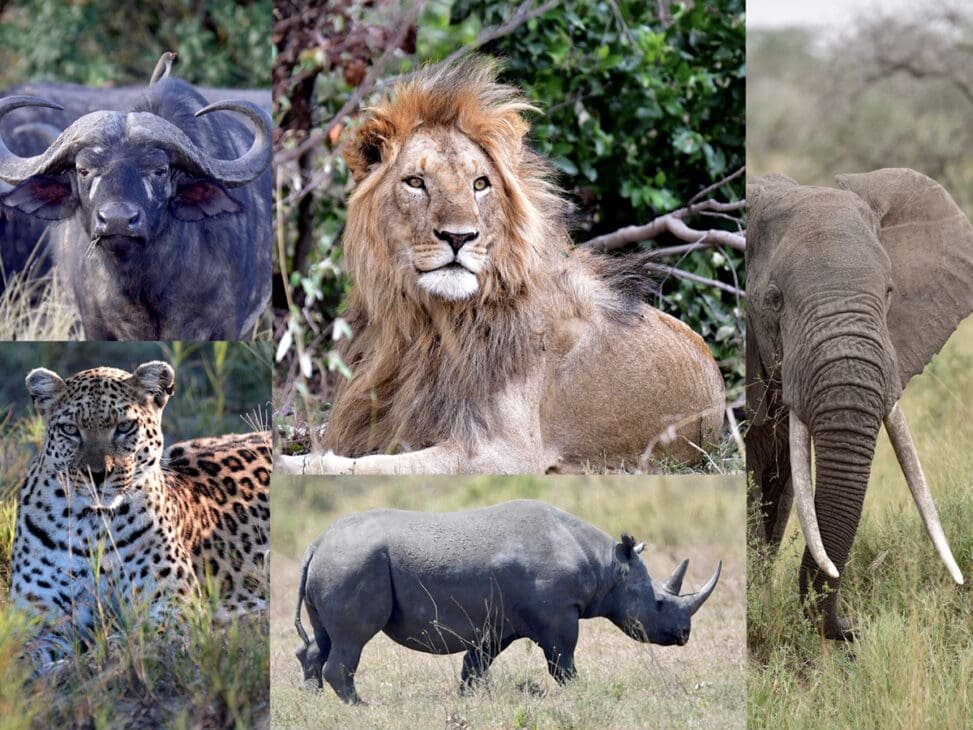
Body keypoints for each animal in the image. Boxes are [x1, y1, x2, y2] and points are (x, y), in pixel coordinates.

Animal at [277, 57, 725, 475]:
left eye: (480, 184)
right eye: (416, 183)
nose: (459, 237)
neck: (426, 323)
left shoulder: (506, 452)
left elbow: (373, 466)